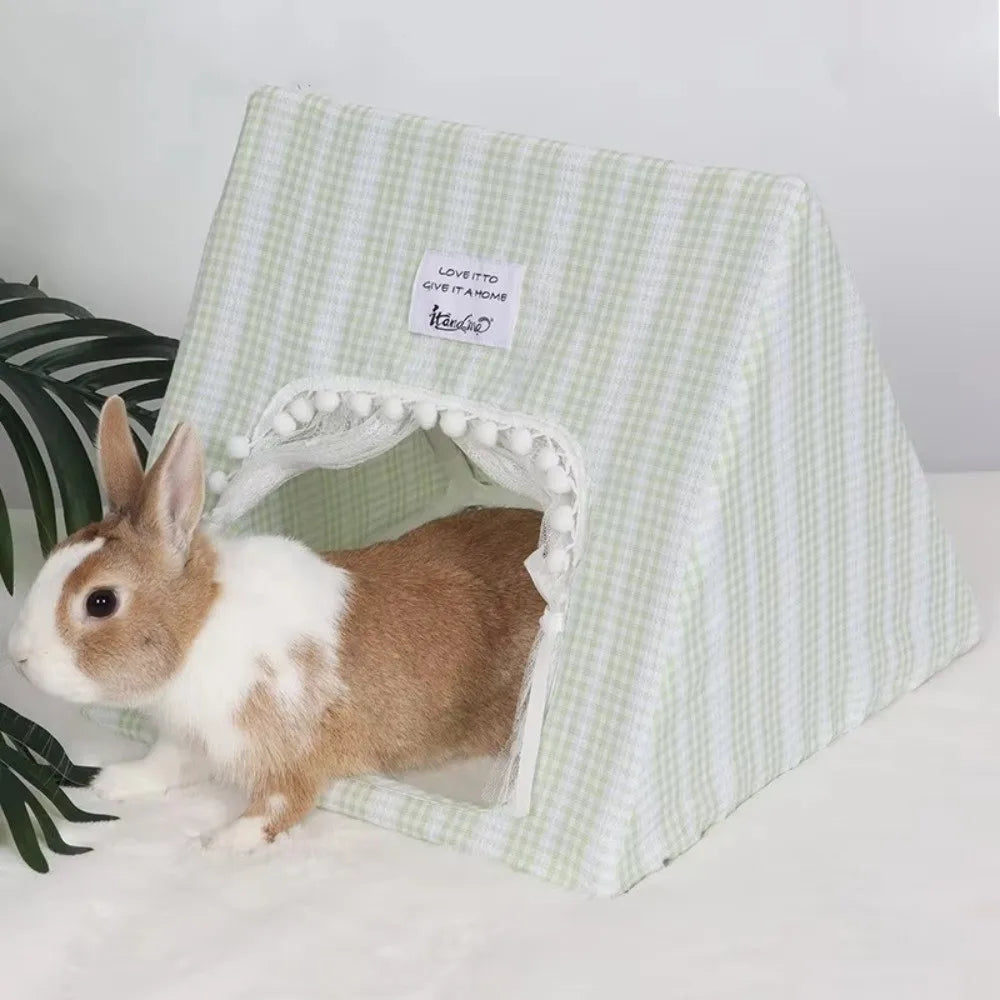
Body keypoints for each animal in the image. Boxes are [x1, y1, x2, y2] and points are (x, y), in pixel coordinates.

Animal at [6, 395, 544, 850]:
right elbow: (165, 764)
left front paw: (220, 844)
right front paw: (113, 783)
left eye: (101, 602)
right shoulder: (193, 737)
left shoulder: (289, 750)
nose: (19, 658)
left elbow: (280, 805)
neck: (201, 628)